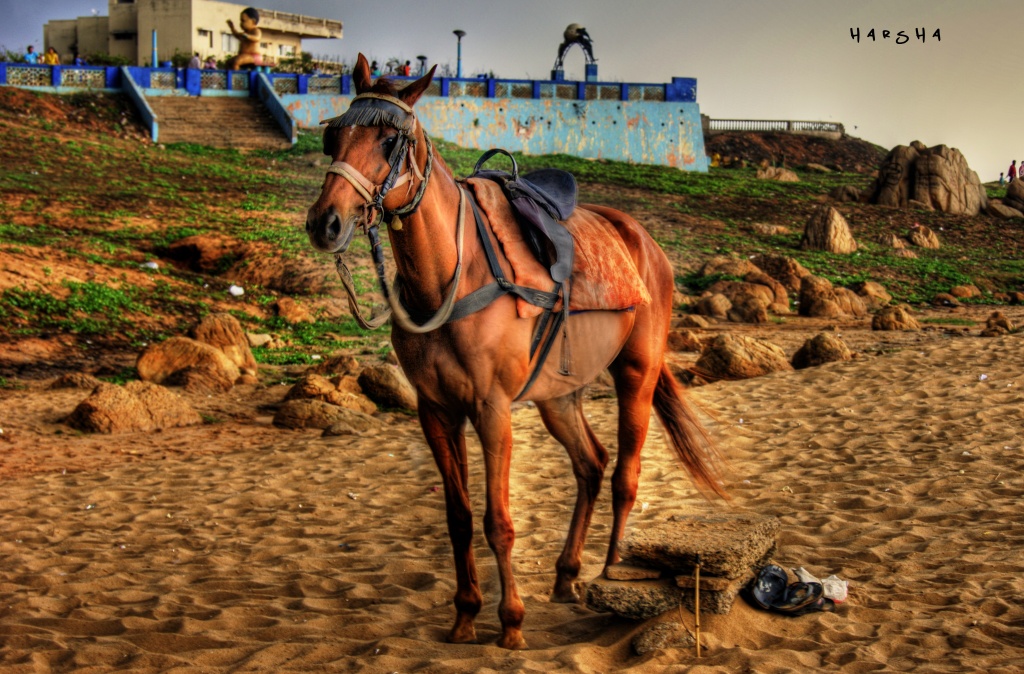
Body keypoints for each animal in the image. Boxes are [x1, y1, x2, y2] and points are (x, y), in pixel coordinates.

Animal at [305, 52, 729, 647]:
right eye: (334, 136)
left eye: (389, 141)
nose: (326, 222)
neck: (451, 276)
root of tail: (641, 238)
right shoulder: (436, 411)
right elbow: (459, 518)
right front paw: (464, 615)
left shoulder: (492, 409)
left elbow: (498, 522)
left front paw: (510, 623)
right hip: (558, 395)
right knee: (591, 464)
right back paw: (567, 575)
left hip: (637, 373)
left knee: (625, 474)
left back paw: (614, 572)